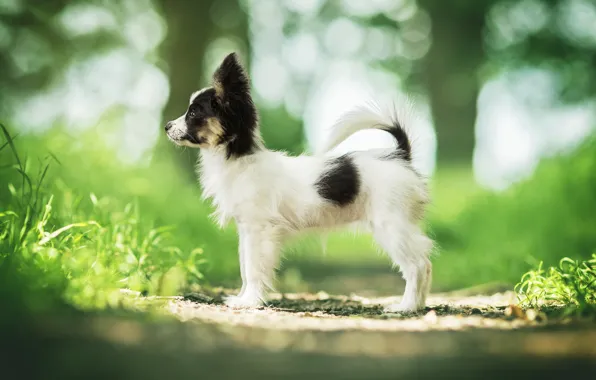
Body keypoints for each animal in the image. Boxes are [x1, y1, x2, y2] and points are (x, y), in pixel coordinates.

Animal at [166, 52, 434, 314]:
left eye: (193, 113)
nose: (167, 125)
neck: (238, 159)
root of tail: (400, 155)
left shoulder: (258, 229)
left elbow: (253, 269)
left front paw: (249, 301)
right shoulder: (246, 230)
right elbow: (244, 266)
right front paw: (242, 297)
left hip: (391, 226)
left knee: (418, 265)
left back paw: (406, 306)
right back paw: (418, 305)